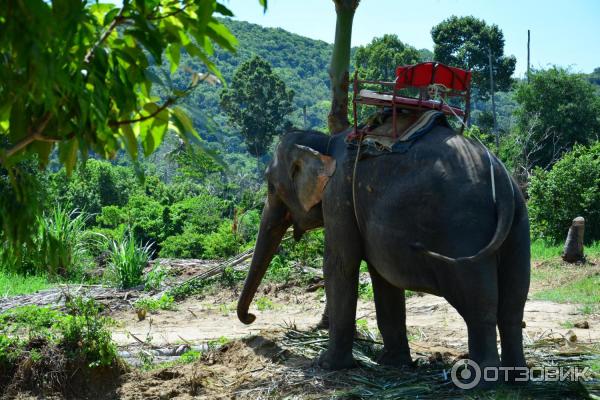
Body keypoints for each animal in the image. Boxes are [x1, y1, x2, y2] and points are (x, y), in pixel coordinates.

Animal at [234, 120, 528, 376]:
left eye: (271, 185)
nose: (252, 317)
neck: (324, 142)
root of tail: (501, 181)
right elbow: (382, 276)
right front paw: (392, 363)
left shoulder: (338, 193)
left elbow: (340, 264)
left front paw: (327, 365)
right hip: (517, 222)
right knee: (513, 305)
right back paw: (516, 377)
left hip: (463, 225)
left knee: (477, 303)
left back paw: (481, 381)